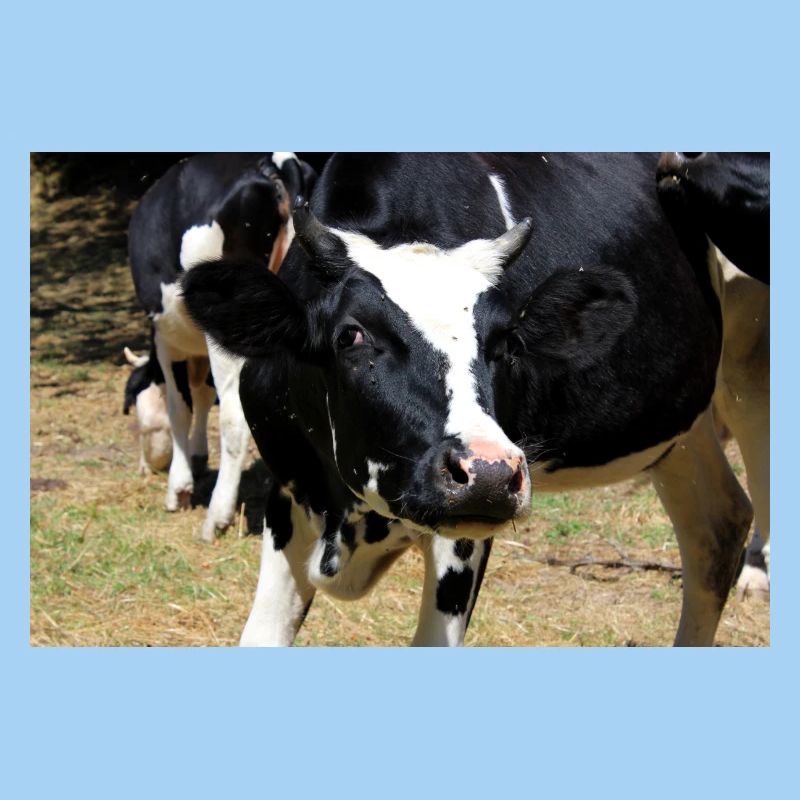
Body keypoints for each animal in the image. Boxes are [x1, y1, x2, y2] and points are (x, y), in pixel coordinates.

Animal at [128, 152, 316, 541]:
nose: (146, 467)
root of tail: (270, 165)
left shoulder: (168, 341)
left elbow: (180, 407)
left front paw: (179, 487)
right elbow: (202, 395)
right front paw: (198, 458)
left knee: (234, 416)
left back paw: (217, 516)